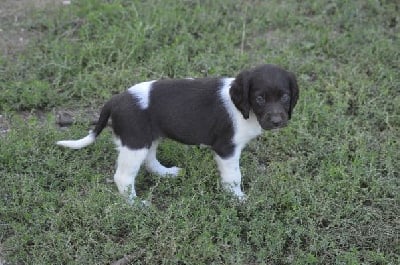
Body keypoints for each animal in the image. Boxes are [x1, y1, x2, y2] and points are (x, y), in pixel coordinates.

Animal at [57, 64, 298, 202]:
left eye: (285, 97)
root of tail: (115, 99)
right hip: (135, 142)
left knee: (150, 161)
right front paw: (238, 199)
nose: (277, 121)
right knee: (123, 177)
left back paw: (167, 173)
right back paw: (136, 206)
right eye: (260, 98)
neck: (245, 110)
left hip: (149, 137)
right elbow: (233, 177)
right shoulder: (226, 149)